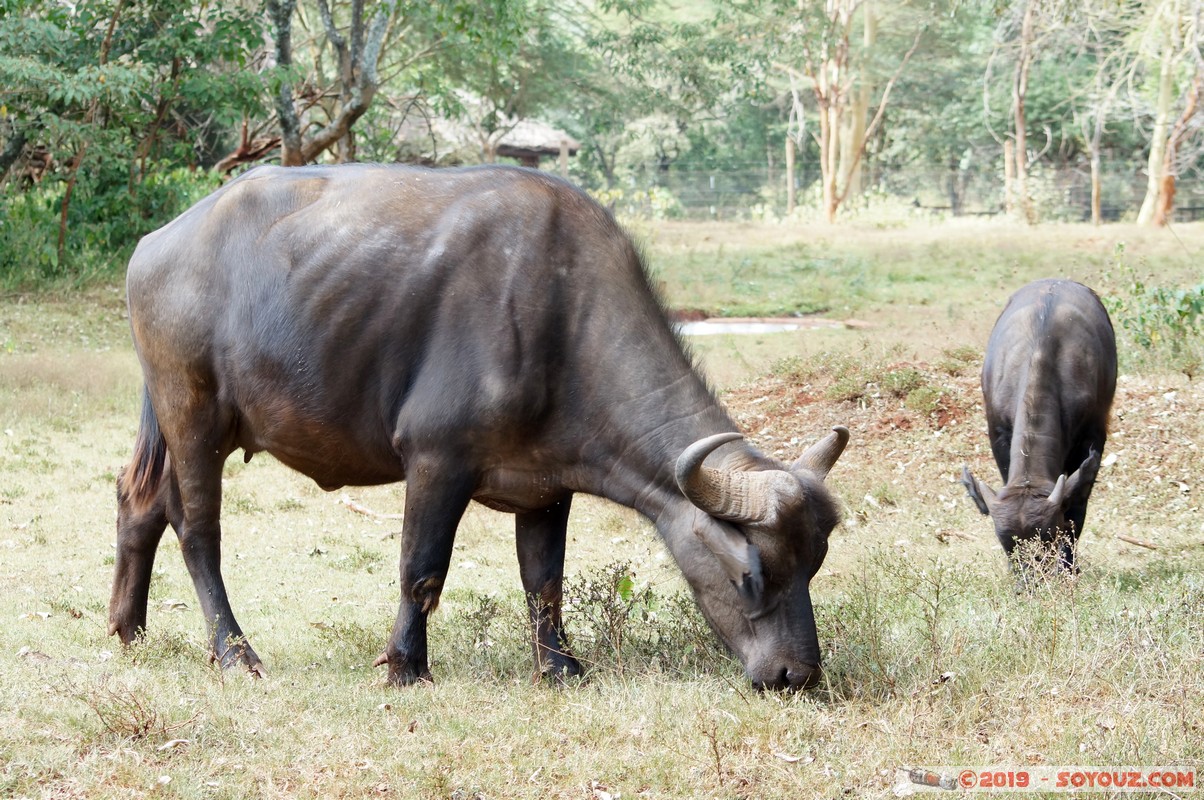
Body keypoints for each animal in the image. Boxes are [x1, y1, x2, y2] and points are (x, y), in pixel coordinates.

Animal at [110, 164, 850, 690]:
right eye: (752, 575)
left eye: (815, 563)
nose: (794, 675)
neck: (562, 319)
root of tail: (156, 244)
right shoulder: (437, 460)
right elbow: (421, 570)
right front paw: (407, 665)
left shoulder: (547, 488)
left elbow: (543, 580)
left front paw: (558, 666)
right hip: (194, 416)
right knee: (196, 529)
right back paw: (235, 652)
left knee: (138, 502)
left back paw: (128, 628)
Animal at [961, 279, 1117, 570]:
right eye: (1007, 545)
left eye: (1048, 538)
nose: (1031, 578)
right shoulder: (997, 433)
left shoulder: (1093, 436)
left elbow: (1076, 509)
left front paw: (1068, 568)